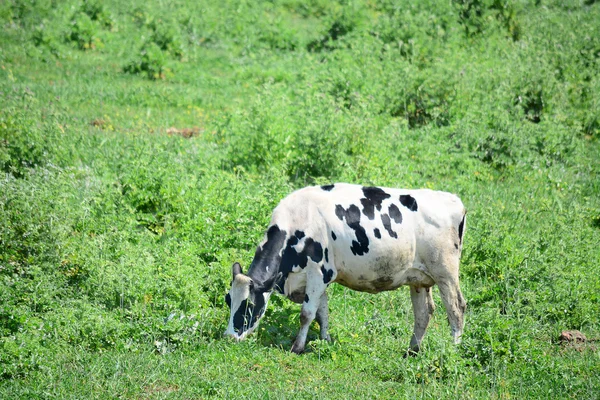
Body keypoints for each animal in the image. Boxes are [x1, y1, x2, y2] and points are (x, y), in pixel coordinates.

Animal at [225, 181, 468, 354]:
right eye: (228, 300)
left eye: (248, 305)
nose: (229, 336)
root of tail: (453, 200)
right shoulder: (319, 278)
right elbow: (322, 313)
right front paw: (324, 341)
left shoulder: (317, 273)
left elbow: (306, 314)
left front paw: (297, 347)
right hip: (419, 278)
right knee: (424, 313)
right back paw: (412, 351)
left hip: (445, 272)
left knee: (456, 308)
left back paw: (453, 351)